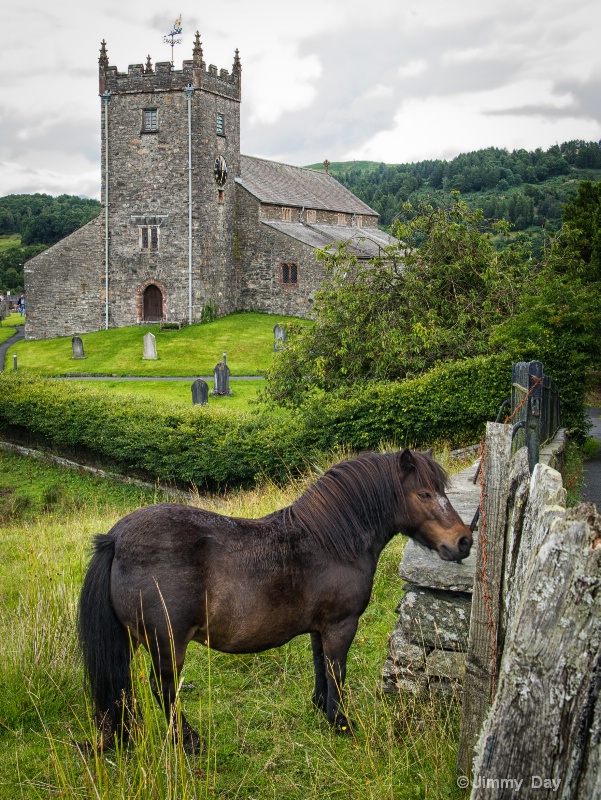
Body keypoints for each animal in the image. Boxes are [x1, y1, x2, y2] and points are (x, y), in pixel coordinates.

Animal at [77, 450, 468, 752]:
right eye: (424, 494)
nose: (463, 541)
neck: (331, 542)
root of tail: (117, 538)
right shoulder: (341, 625)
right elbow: (337, 672)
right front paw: (341, 723)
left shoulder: (319, 628)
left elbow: (320, 667)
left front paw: (320, 709)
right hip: (167, 643)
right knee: (164, 690)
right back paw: (188, 741)